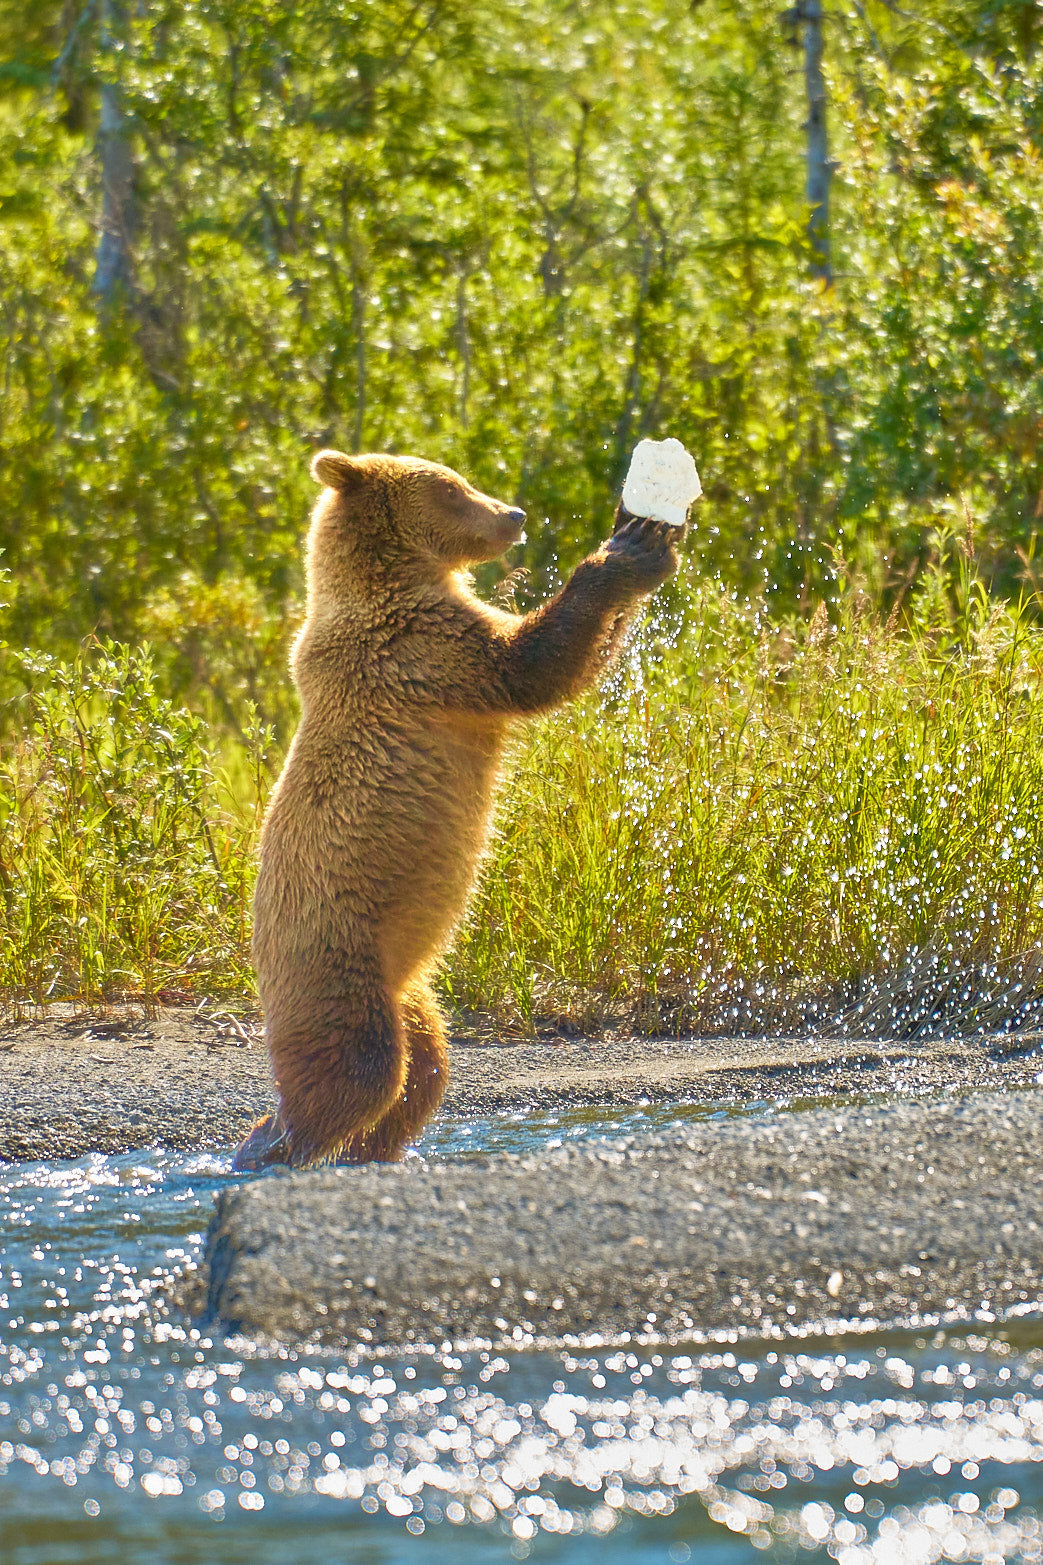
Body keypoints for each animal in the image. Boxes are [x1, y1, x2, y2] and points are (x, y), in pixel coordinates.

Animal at [232, 450, 683, 1171]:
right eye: (453, 486)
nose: (515, 514)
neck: (391, 579)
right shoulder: (423, 649)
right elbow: (532, 664)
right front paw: (628, 551)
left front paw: (642, 534)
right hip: (334, 959)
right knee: (360, 1070)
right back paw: (273, 1142)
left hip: (410, 987)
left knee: (425, 1070)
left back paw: (366, 1147)